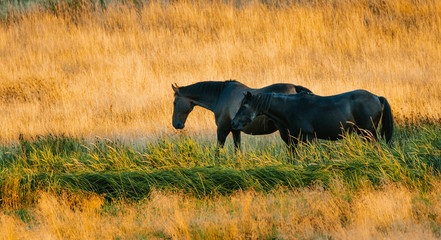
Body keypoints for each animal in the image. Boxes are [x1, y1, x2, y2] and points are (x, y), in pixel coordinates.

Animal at [170, 80, 312, 148]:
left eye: (175, 102)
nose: (176, 124)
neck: (221, 95)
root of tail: (295, 87)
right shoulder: (235, 130)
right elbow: (237, 150)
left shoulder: (222, 129)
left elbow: (218, 150)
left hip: (285, 131)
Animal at [230, 89, 392, 153]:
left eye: (244, 106)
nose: (233, 123)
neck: (291, 108)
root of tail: (377, 97)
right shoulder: (295, 140)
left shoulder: (308, 137)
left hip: (368, 133)